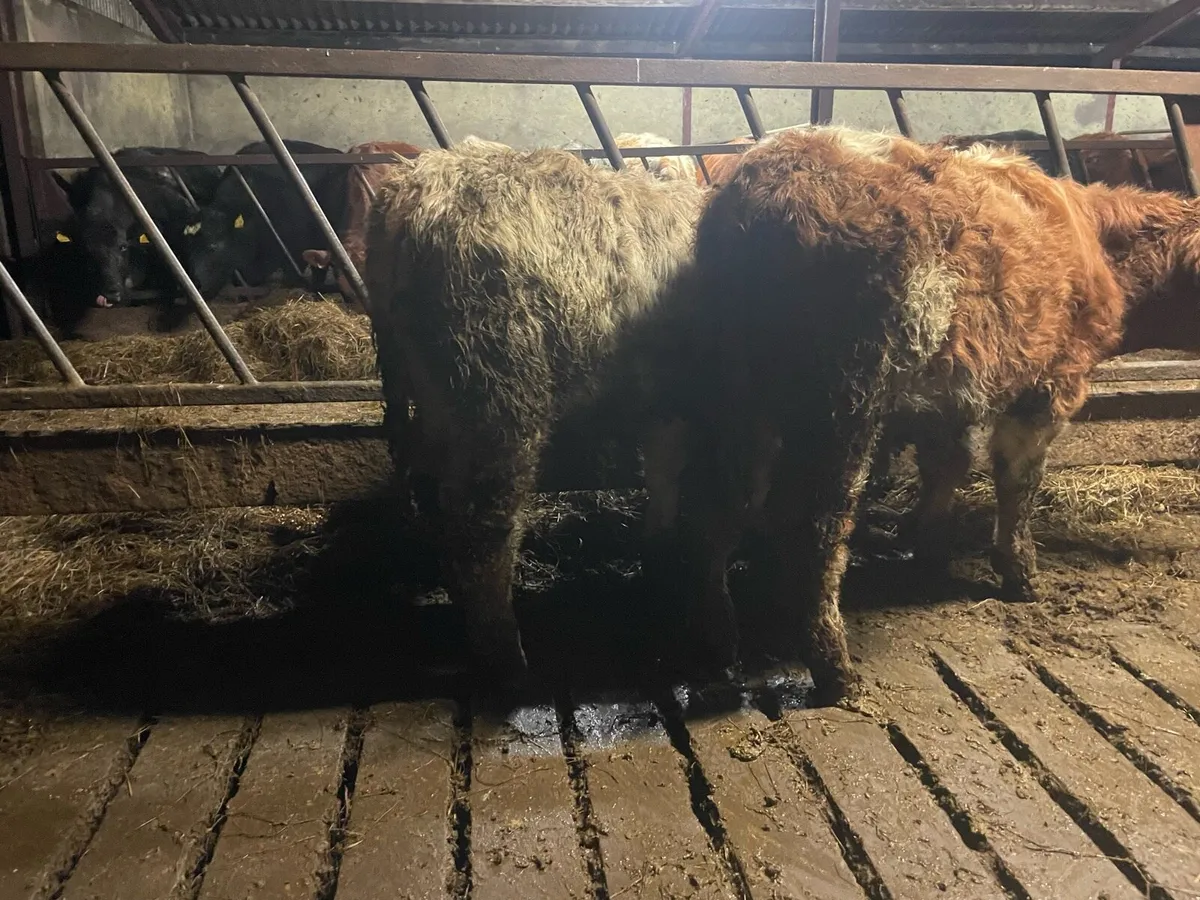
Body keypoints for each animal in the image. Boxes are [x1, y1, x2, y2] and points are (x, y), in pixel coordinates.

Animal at [365, 137, 703, 682]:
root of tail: (412, 191)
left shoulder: (668, 399)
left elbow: (664, 472)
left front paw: (659, 551)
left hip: (437, 396)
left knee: (434, 491)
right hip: (497, 390)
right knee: (482, 523)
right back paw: (506, 659)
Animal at [631, 126, 1174, 705]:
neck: (1092, 235)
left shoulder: (952, 396)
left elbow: (948, 465)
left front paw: (926, 544)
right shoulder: (1051, 384)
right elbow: (1017, 481)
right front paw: (1018, 572)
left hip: (739, 396)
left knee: (719, 508)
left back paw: (719, 641)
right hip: (842, 401)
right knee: (813, 527)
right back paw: (834, 669)